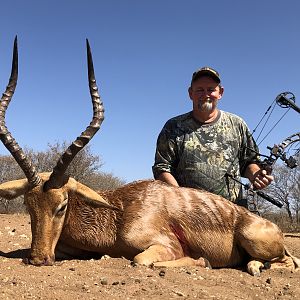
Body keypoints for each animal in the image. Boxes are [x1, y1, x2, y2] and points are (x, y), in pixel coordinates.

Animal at [0, 37, 300, 276]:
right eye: (28, 205)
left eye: (62, 206)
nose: (38, 259)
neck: (118, 215)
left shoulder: (162, 246)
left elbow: (141, 260)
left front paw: (202, 260)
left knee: (288, 261)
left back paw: (255, 266)